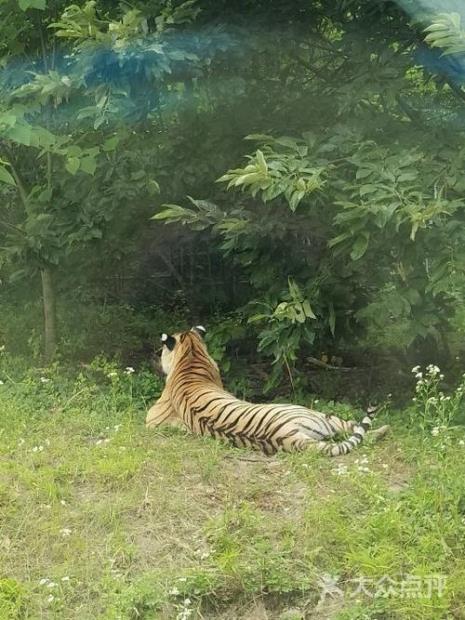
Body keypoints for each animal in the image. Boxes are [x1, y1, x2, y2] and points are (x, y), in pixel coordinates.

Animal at [146, 324, 388, 456]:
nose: (154, 357)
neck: (191, 355)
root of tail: (289, 437)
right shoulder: (152, 419)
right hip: (316, 414)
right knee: (356, 428)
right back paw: (384, 429)